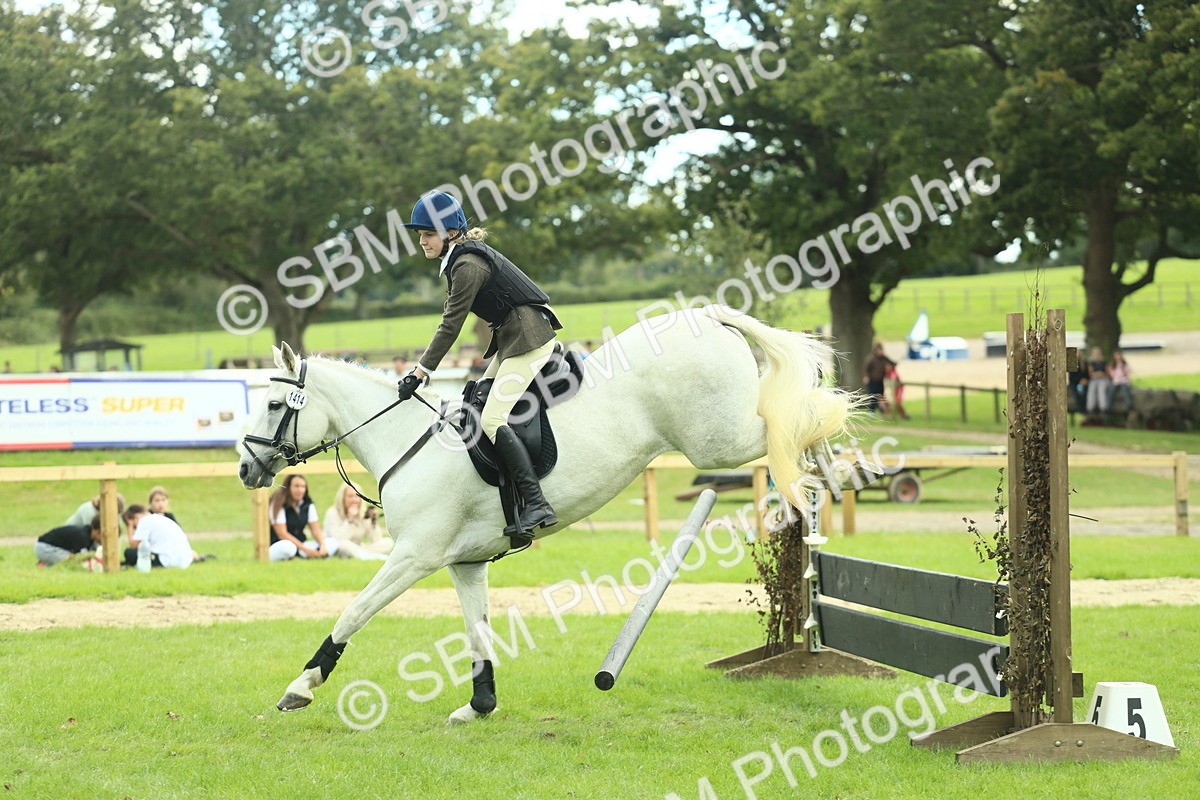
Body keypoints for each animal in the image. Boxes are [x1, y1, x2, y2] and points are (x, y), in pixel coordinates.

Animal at [238, 304, 855, 725]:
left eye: (271, 404)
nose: (246, 468)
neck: (408, 440)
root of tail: (705, 314)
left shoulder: (414, 556)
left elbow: (353, 613)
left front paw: (301, 686)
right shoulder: (464, 563)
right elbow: (478, 634)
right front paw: (480, 705)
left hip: (717, 441)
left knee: (799, 421)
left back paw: (836, 467)